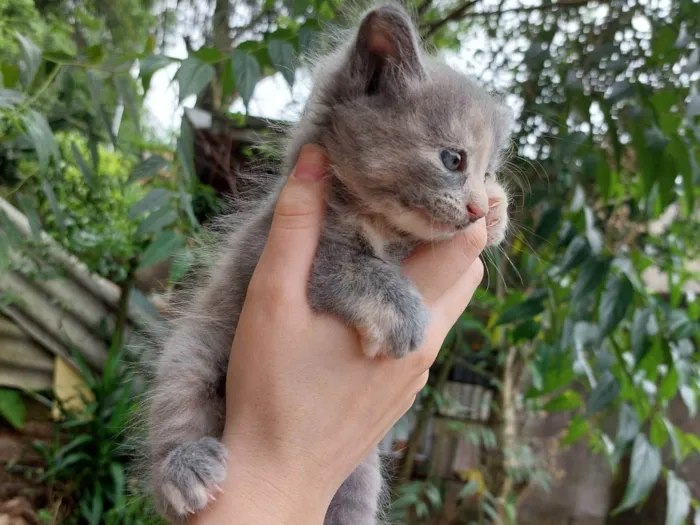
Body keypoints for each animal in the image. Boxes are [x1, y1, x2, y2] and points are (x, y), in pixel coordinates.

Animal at [145, 5, 512, 524]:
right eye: (453, 159)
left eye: (486, 171)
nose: (477, 209)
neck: (381, 224)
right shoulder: (281, 247)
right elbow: (350, 265)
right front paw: (400, 312)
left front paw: (500, 211)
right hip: (190, 353)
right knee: (176, 411)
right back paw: (183, 470)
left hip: (361, 475)